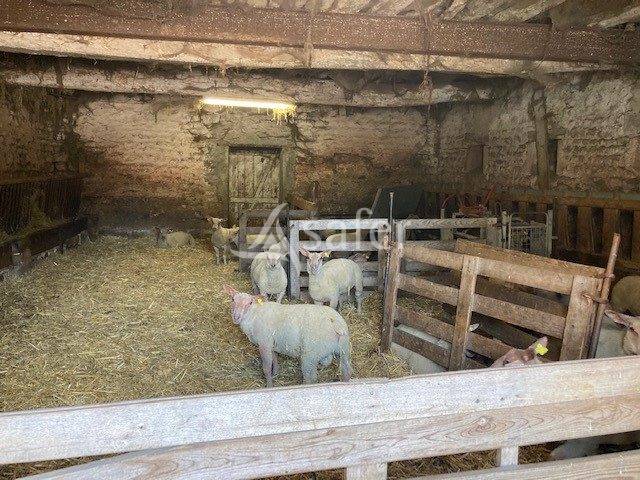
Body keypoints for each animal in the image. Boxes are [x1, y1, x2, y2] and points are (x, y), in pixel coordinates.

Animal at [222, 285, 352, 387]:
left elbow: (266, 367)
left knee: (310, 378)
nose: (236, 317)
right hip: (344, 350)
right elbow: (274, 358)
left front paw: (269, 385)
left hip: (310, 355)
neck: (254, 314)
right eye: (232, 299)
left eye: (249, 303)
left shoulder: (264, 344)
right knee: (346, 371)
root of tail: (335, 322)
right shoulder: (271, 343)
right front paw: (276, 373)